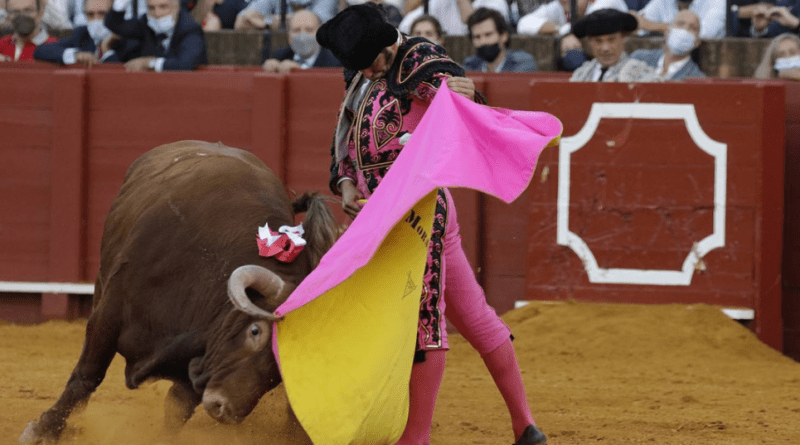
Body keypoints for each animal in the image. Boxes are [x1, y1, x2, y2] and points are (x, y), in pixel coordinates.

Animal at [18, 140, 338, 442]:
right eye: (255, 331)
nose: (224, 410)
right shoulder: (110, 312)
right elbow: (88, 375)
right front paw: (44, 430)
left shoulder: (202, 354)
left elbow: (177, 408)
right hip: (101, 281)